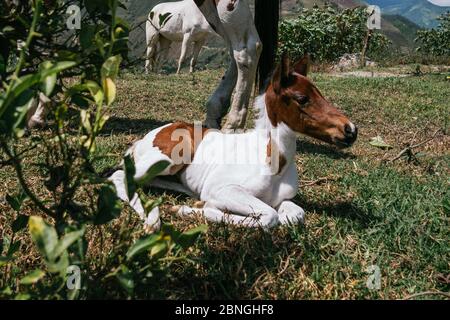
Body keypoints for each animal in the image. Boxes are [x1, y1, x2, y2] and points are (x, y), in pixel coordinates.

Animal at [107, 55, 356, 230]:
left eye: (319, 93)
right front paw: (190, 209)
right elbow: (270, 216)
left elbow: (294, 215)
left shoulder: (280, 199)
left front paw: (196, 206)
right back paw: (152, 220)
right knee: (118, 177)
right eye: (302, 99)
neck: (273, 163)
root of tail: (145, 138)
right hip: (166, 159)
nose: (350, 130)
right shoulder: (222, 189)